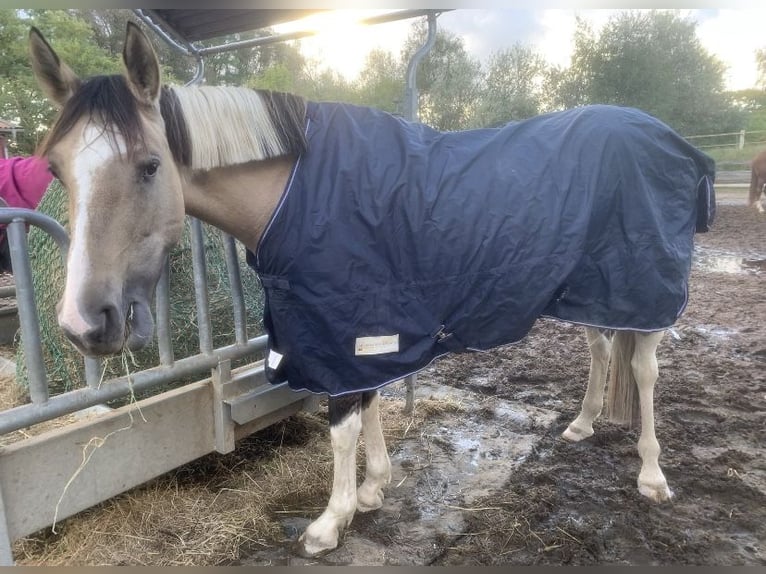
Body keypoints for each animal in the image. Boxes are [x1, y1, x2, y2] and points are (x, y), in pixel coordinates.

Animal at [27, 22, 716, 560]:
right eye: (55, 168)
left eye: (149, 165)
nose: (84, 323)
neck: (300, 190)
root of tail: (676, 143)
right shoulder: (364, 325)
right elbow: (372, 402)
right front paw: (374, 488)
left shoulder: (345, 325)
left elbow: (343, 424)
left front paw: (329, 523)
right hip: (597, 289)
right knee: (602, 349)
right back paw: (581, 424)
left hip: (644, 287)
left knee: (645, 372)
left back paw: (652, 476)